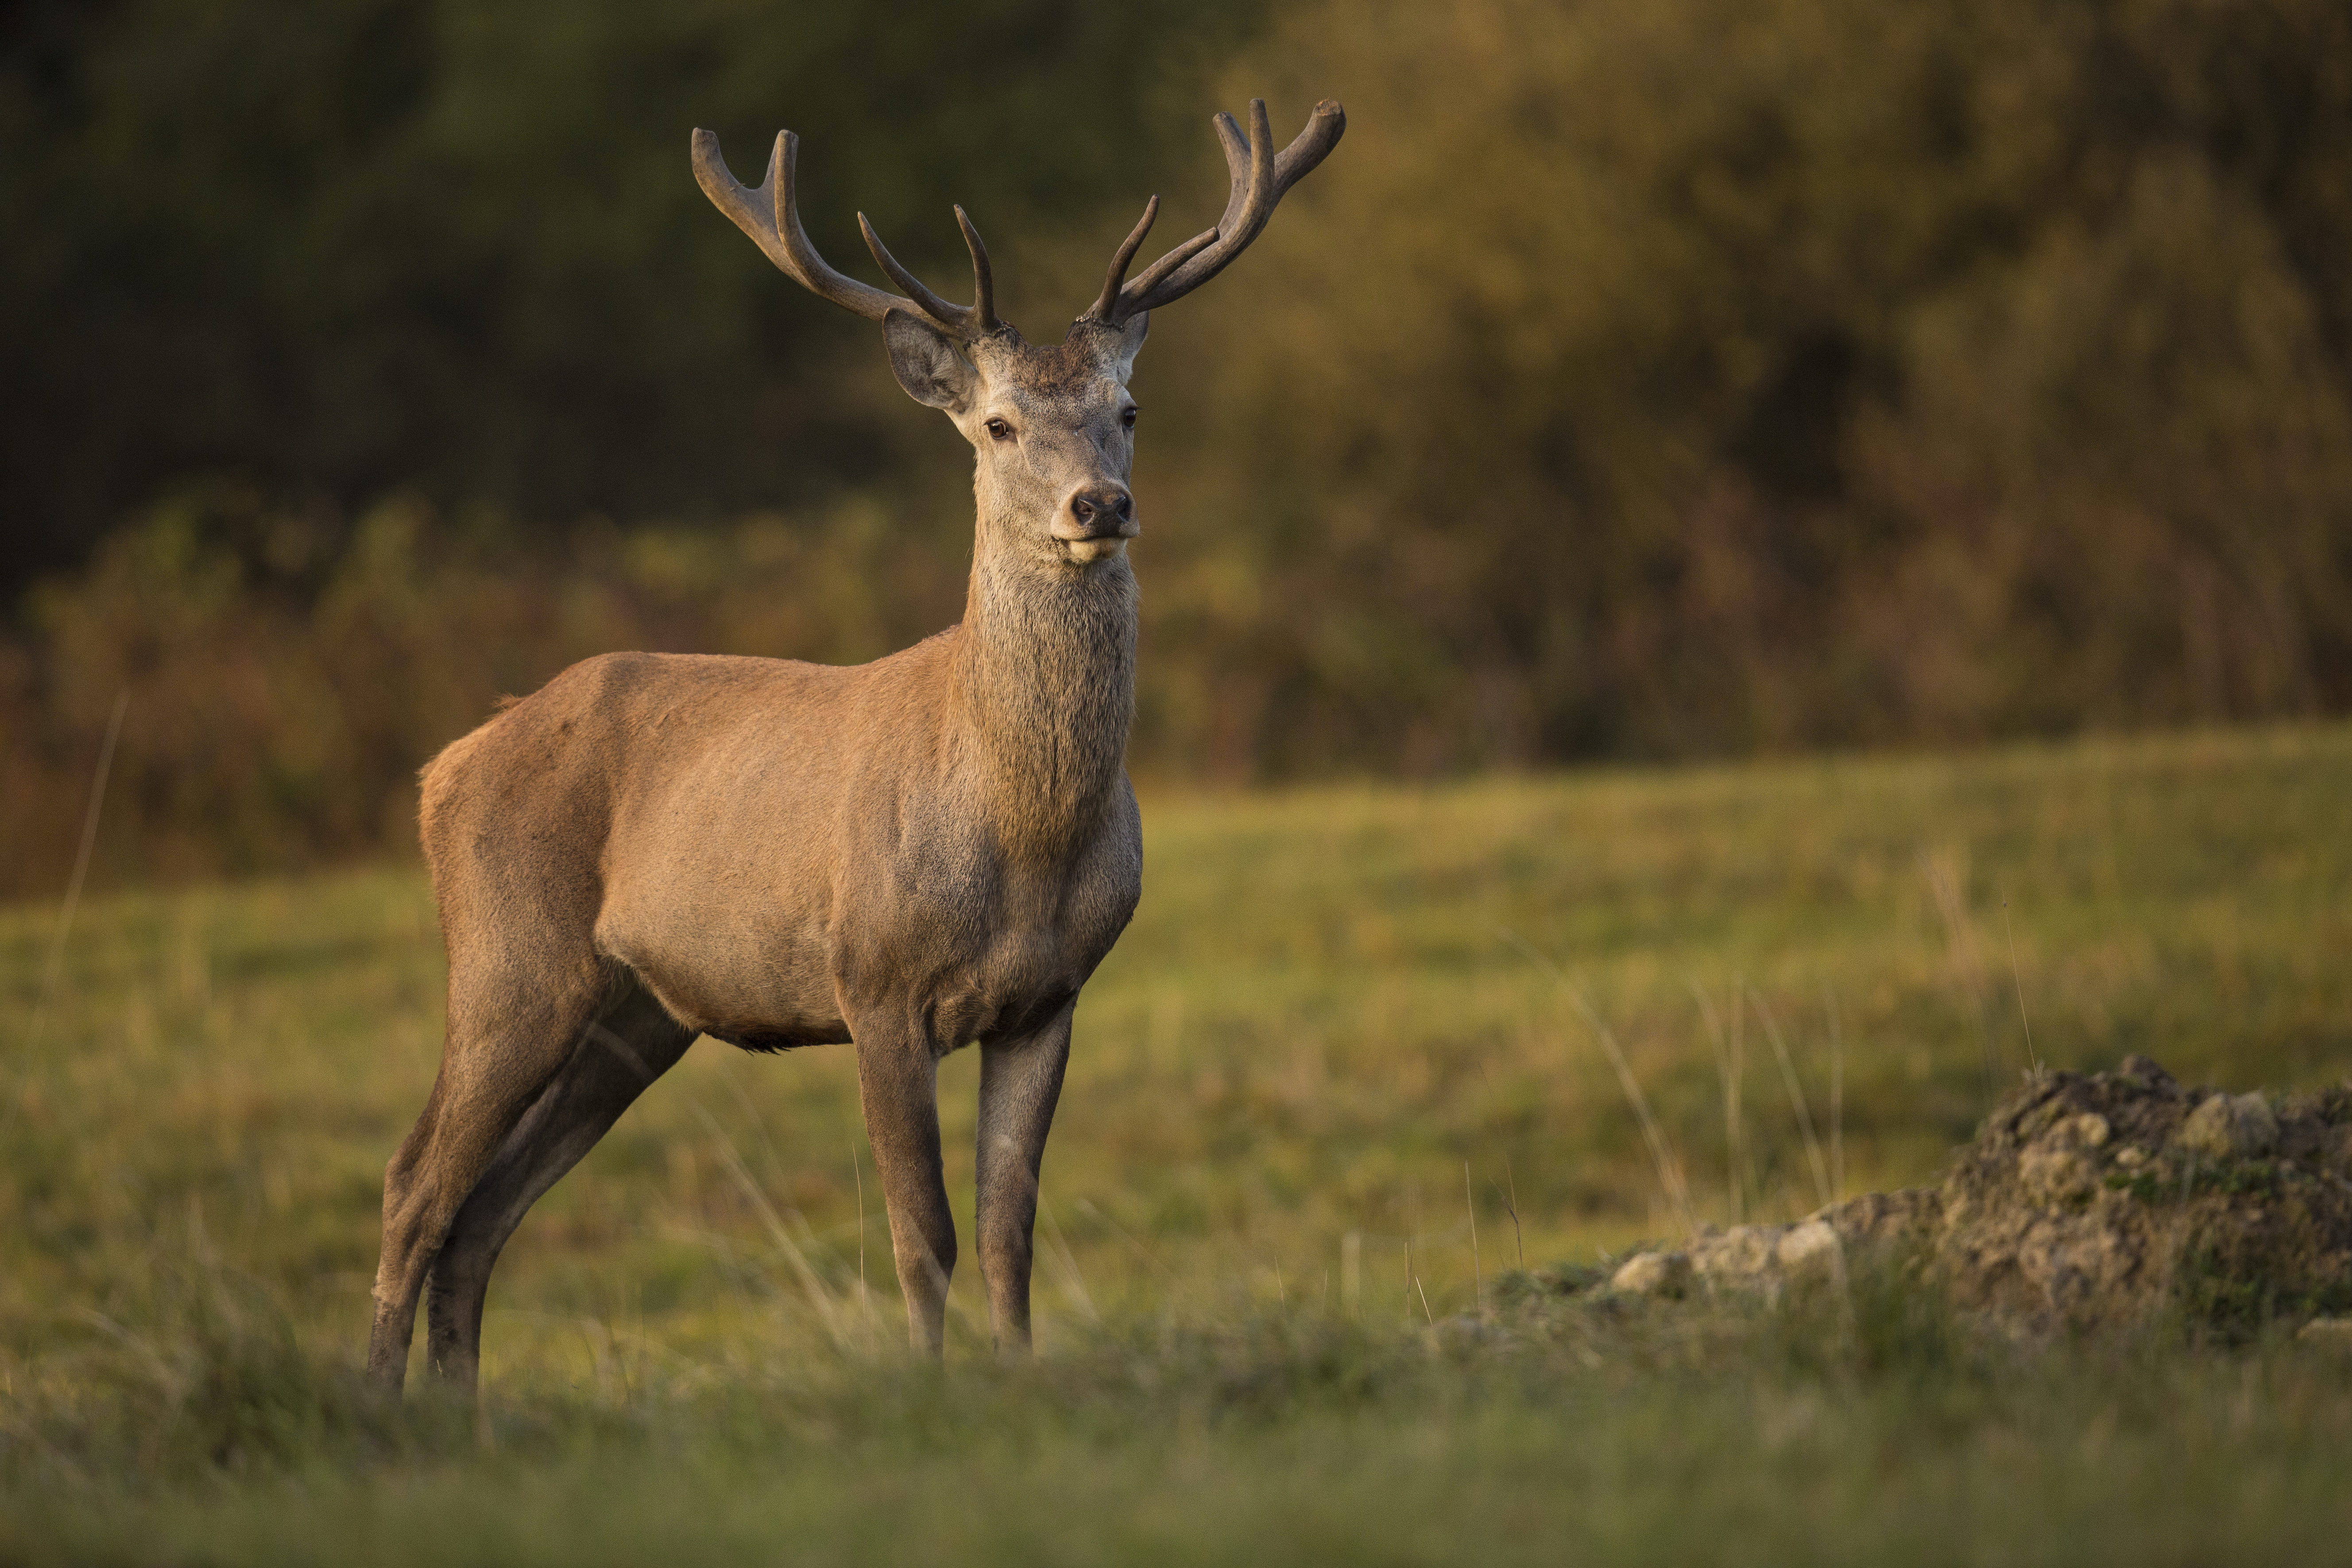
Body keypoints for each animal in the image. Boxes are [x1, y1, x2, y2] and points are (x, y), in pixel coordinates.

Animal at [365, 97, 1344, 1393]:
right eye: (998, 423)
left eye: (1127, 412)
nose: (1100, 504)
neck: (1020, 831)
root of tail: (444, 766)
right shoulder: (873, 978)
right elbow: (920, 1226)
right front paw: (929, 1385)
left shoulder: (1050, 994)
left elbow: (1009, 1222)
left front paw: (1017, 1374)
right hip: (507, 957)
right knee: (414, 1180)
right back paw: (374, 1401)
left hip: (636, 1014)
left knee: (483, 1211)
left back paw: (458, 1411)